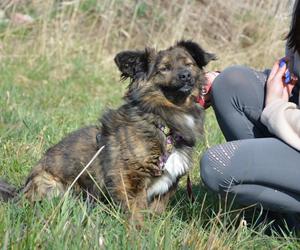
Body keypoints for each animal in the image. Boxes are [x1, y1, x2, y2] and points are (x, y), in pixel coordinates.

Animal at [0, 40, 216, 221]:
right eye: (164, 68)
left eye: (188, 64)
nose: (186, 75)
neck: (163, 122)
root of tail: (21, 191)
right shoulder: (129, 179)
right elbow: (136, 213)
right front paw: (139, 234)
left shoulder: (165, 188)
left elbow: (155, 212)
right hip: (52, 187)